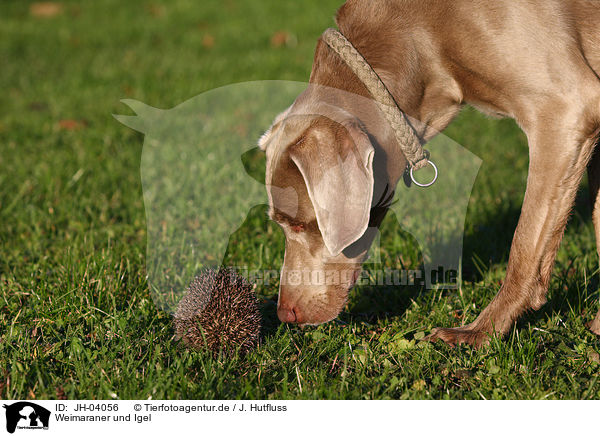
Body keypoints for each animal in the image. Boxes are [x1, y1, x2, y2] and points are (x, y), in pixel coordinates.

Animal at [260, 0, 600, 348]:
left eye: (298, 224)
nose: (285, 314)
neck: (417, 37)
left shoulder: (563, 108)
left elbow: (524, 242)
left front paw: (478, 332)